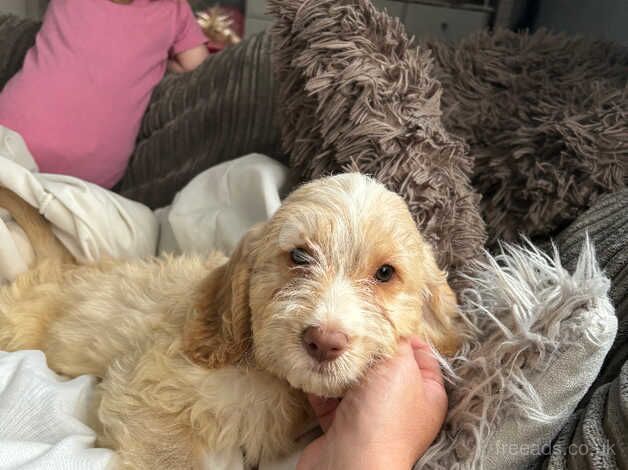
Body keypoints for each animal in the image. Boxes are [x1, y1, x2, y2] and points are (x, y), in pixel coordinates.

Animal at [0, 173, 462, 470]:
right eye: (298, 255)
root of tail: (60, 270)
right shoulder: (145, 383)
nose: (324, 340)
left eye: (385, 273)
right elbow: (170, 458)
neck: (267, 373)